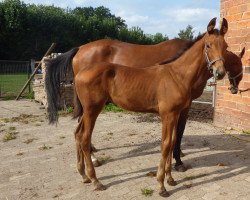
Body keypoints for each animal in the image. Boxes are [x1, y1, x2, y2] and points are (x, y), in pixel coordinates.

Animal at [45, 18, 229, 196]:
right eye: (208, 45)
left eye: (226, 47)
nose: (220, 72)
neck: (176, 75)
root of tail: (79, 73)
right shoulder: (168, 115)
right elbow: (166, 144)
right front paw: (161, 185)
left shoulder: (175, 114)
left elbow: (172, 142)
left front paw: (170, 178)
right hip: (92, 109)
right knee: (84, 138)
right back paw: (96, 180)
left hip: (87, 110)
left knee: (77, 133)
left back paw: (83, 175)